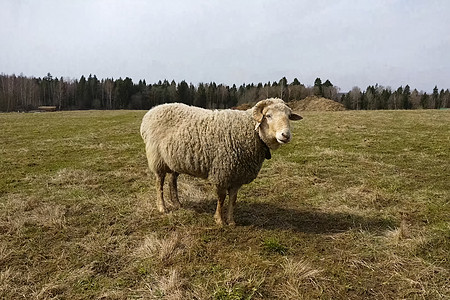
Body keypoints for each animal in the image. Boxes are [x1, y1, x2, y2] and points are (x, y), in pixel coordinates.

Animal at [141, 98, 302, 225]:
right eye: (268, 115)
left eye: (289, 116)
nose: (285, 135)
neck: (252, 133)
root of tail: (152, 111)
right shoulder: (222, 172)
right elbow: (221, 198)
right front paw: (219, 220)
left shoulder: (238, 175)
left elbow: (233, 199)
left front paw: (231, 221)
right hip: (157, 159)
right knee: (159, 183)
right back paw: (162, 207)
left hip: (175, 159)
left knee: (172, 181)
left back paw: (177, 203)